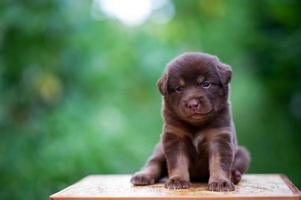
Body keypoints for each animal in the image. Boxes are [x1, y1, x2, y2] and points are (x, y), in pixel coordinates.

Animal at [130, 52, 250, 191]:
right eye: (179, 88)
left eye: (206, 84)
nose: (193, 104)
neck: (196, 125)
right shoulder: (175, 137)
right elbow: (178, 162)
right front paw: (177, 180)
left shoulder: (219, 137)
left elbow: (219, 162)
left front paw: (221, 182)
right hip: (160, 149)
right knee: (153, 163)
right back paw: (142, 176)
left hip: (242, 154)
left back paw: (234, 176)